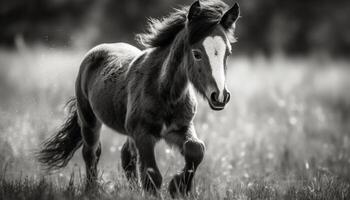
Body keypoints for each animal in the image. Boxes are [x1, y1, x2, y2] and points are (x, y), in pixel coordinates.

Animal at [39, 0, 241, 197]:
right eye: (197, 54)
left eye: (228, 53)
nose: (220, 96)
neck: (165, 91)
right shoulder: (143, 134)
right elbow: (152, 174)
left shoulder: (180, 128)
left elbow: (196, 149)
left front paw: (178, 187)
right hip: (89, 119)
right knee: (91, 152)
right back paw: (92, 189)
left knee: (126, 155)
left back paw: (132, 190)